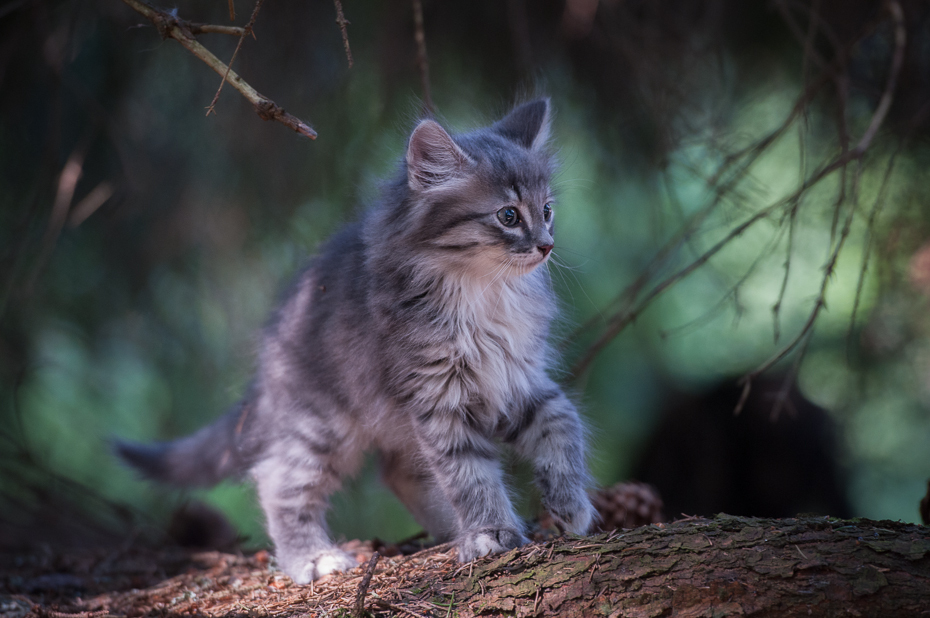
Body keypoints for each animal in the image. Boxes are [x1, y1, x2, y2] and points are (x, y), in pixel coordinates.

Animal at [116, 98, 596, 580]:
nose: (547, 245)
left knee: (398, 472)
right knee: (278, 479)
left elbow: (563, 423)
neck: (485, 293)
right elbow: (468, 474)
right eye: (509, 216)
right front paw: (490, 533)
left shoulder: (518, 378)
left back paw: (448, 528)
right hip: (320, 423)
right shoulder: (439, 397)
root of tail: (272, 349)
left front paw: (570, 503)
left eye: (548, 210)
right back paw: (313, 557)